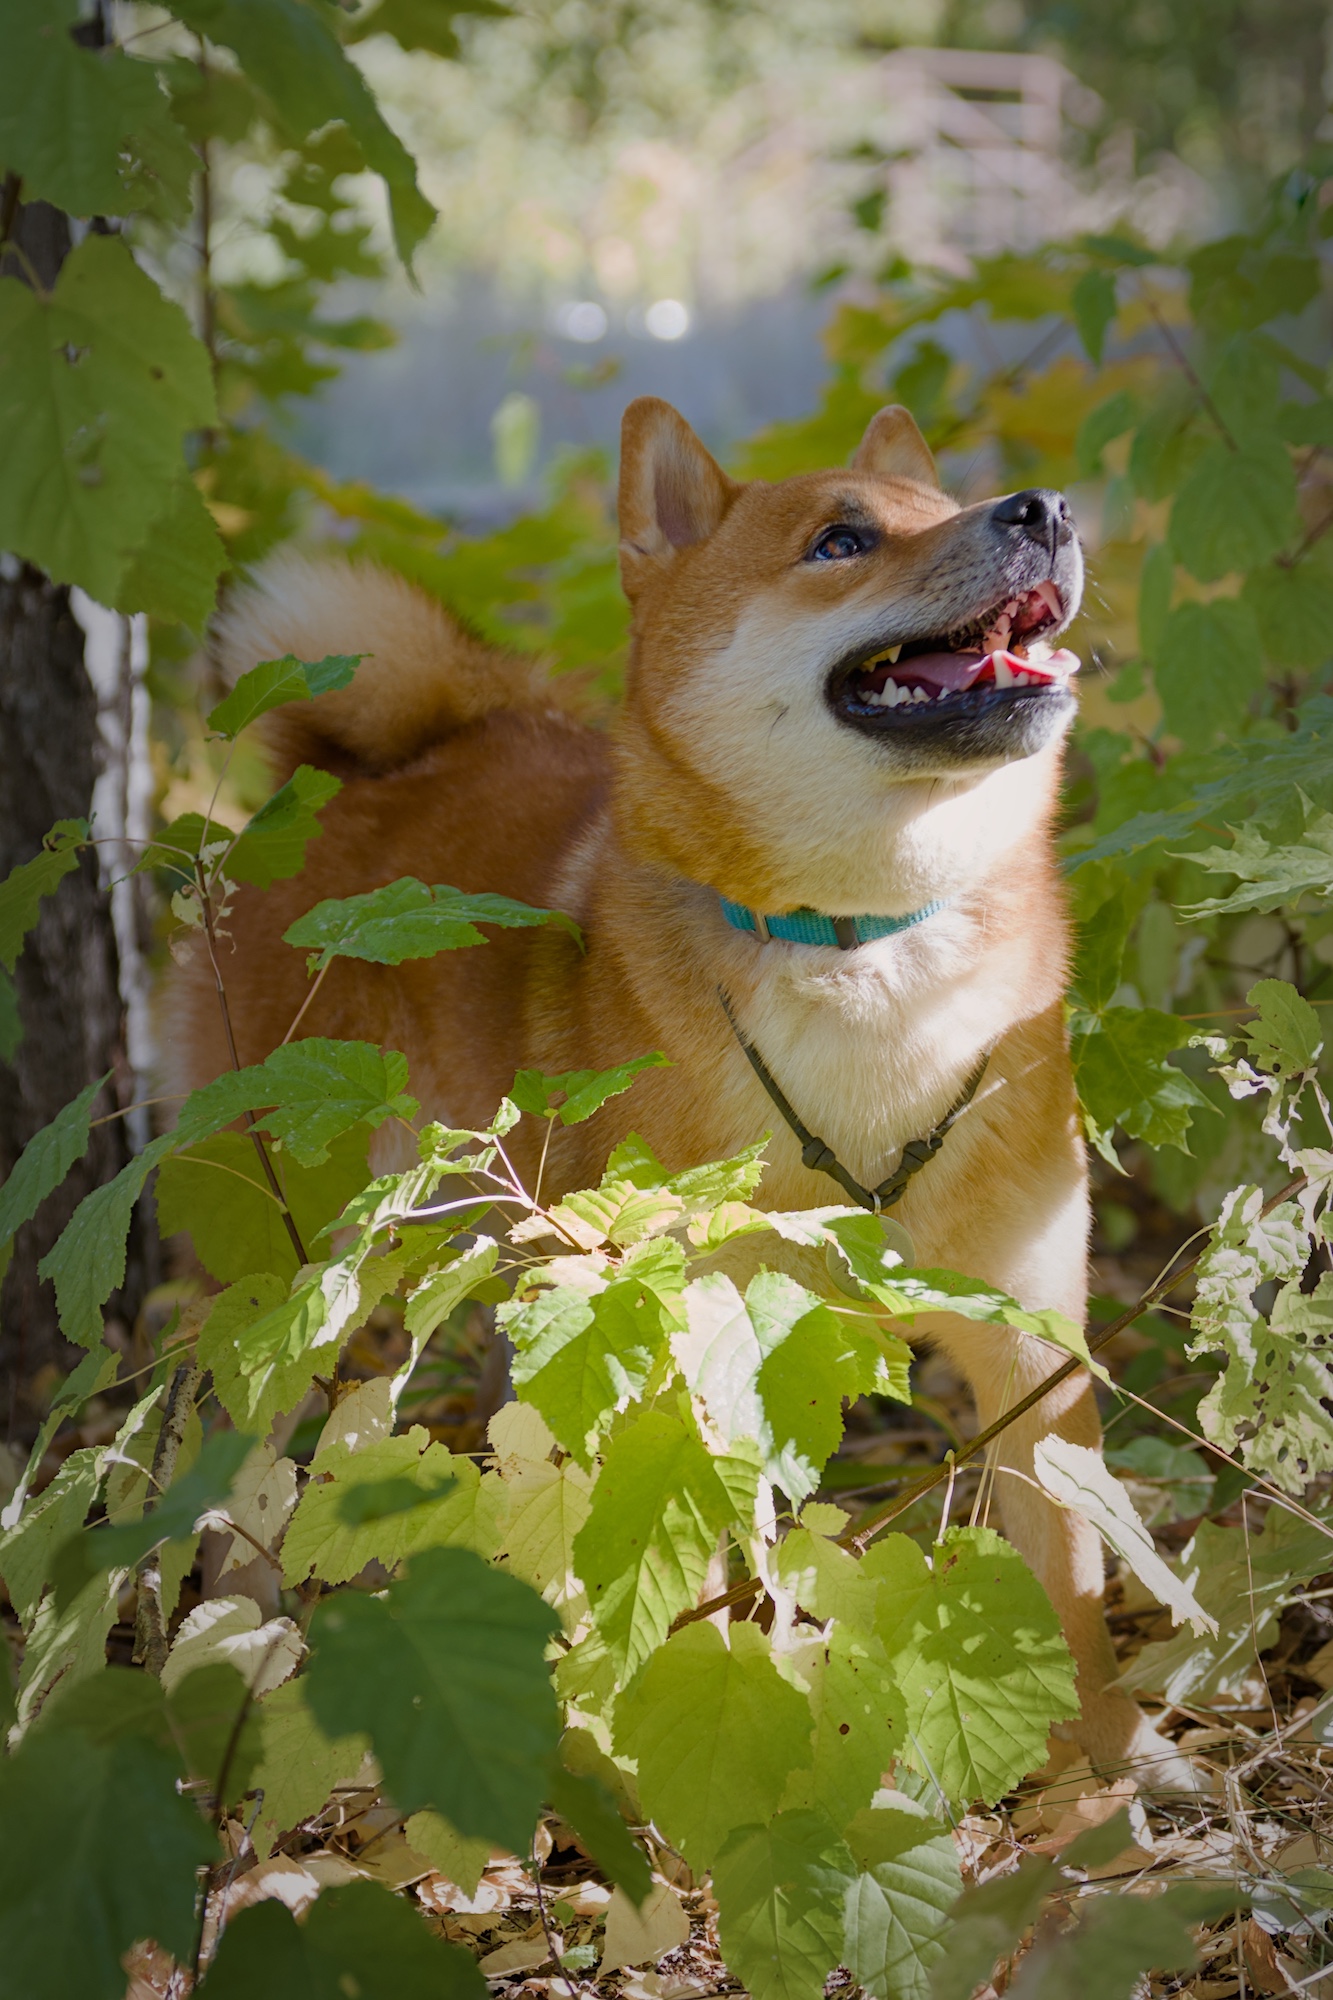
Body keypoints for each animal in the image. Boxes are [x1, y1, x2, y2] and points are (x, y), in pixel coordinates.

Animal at [169, 398, 1160, 1776]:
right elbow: (675, 1558)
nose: (1045, 509)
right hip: (300, 1265)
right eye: (841, 538)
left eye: (950, 502)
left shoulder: (1031, 1336)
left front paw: (1109, 1758)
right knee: (240, 1456)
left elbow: (1071, 1568)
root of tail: (363, 773)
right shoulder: (682, 1340)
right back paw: (230, 1648)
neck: (862, 954)